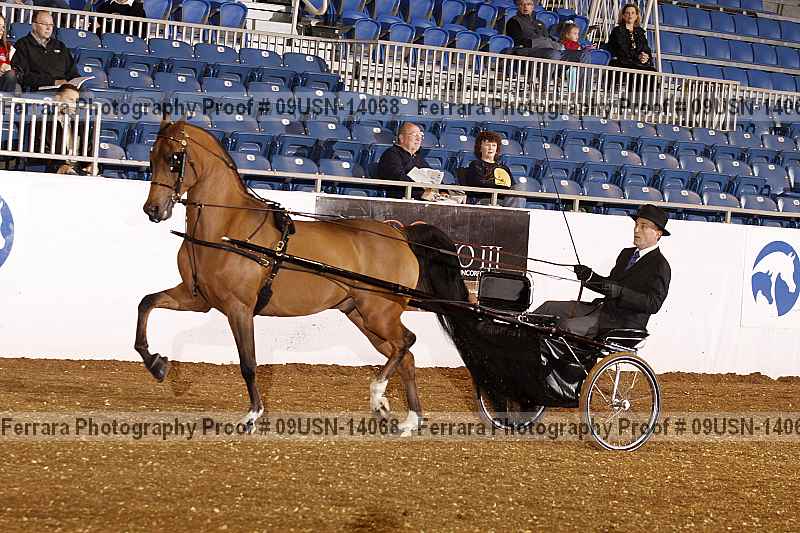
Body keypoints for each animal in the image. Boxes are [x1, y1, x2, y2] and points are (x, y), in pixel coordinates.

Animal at [136, 121, 469, 434]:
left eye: (174, 159)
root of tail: (400, 233)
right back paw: (408, 419)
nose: (153, 209)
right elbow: (146, 303)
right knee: (406, 356)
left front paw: (252, 415)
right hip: (361, 316)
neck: (227, 228)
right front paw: (156, 364)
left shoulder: (239, 308)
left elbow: (248, 363)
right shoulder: (197, 298)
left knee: (406, 343)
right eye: (151, 156)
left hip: (380, 314)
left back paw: (378, 396)